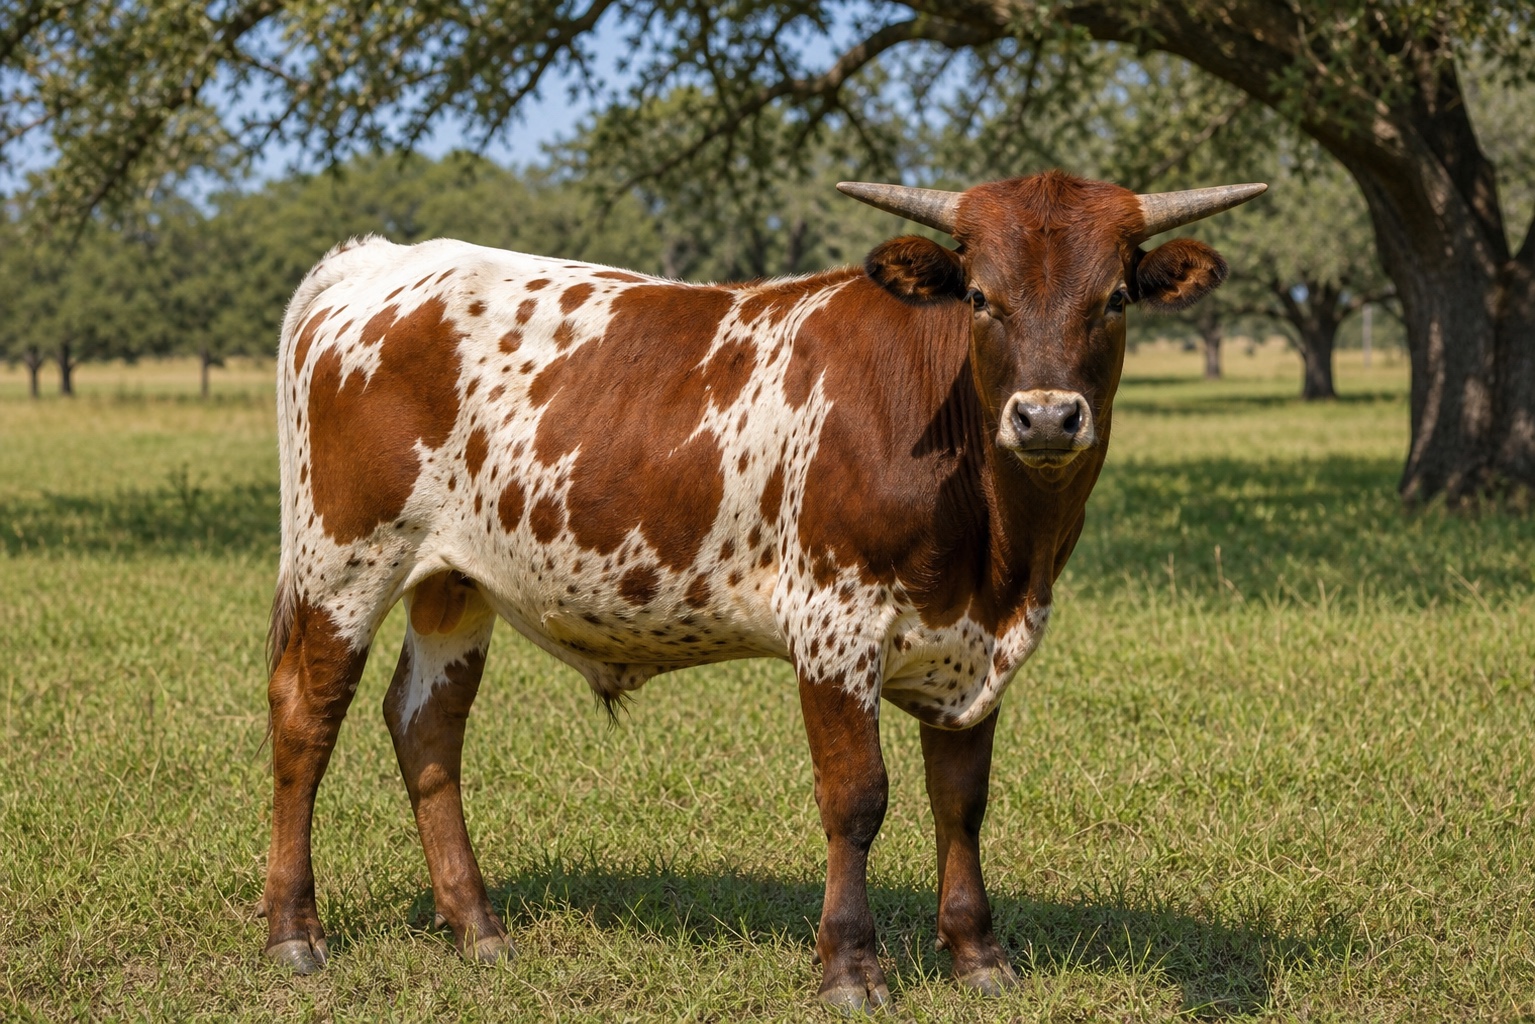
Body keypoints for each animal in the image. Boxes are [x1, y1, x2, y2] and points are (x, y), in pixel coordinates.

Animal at [257, 171, 1264, 1011]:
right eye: (982, 297)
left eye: (1115, 298)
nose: (1047, 417)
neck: (1002, 552)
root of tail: (378, 259)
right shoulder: (833, 623)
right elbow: (856, 799)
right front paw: (850, 968)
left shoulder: (977, 645)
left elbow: (962, 798)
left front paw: (978, 956)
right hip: (343, 560)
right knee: (307, 715)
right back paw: (294, 934)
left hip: (454, 579)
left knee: (426, 723)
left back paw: (477, 928)